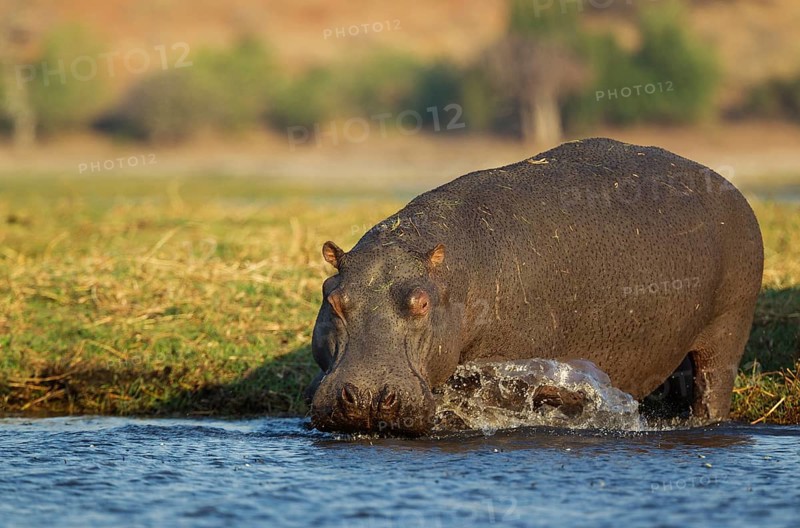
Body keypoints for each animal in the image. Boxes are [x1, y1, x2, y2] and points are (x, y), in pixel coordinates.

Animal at [307, 138, 764, 435]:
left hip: (728, 328)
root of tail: (730, 186)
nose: (368, 396)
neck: (451, 275)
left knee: (712, 388)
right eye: (333, 298)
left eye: (420, 303)